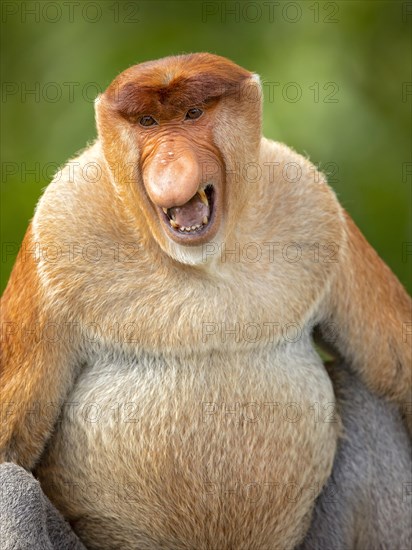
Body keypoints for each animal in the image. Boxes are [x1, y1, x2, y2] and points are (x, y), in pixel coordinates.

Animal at [2, 52, 412, 550]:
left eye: (193, 114)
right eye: (148, 121)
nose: (171, 162)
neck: (201, 264)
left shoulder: (316, 205)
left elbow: (400, 370)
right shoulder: (56, 228)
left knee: (370, 404)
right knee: (14, 488)